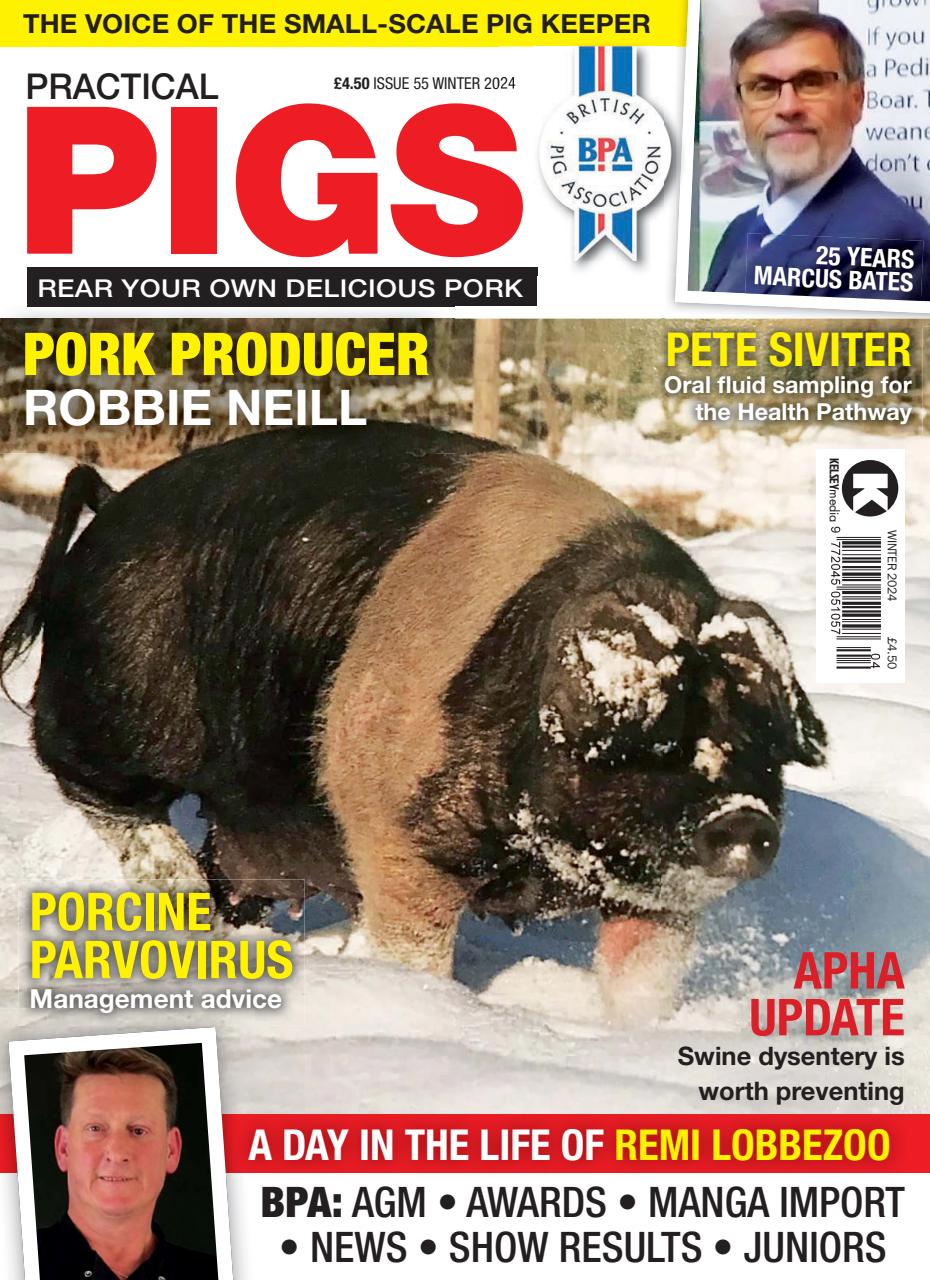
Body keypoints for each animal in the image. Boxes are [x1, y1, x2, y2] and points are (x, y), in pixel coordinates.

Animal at [0, 424, 826, 1014]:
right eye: (652, 737)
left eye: (764, 741)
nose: (743, 816)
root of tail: (108, 509)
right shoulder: (390, 826)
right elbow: (417, 944)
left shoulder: (657, 897)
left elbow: (642, 974)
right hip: (112, 708)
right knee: (94, 787)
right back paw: (179, 897)